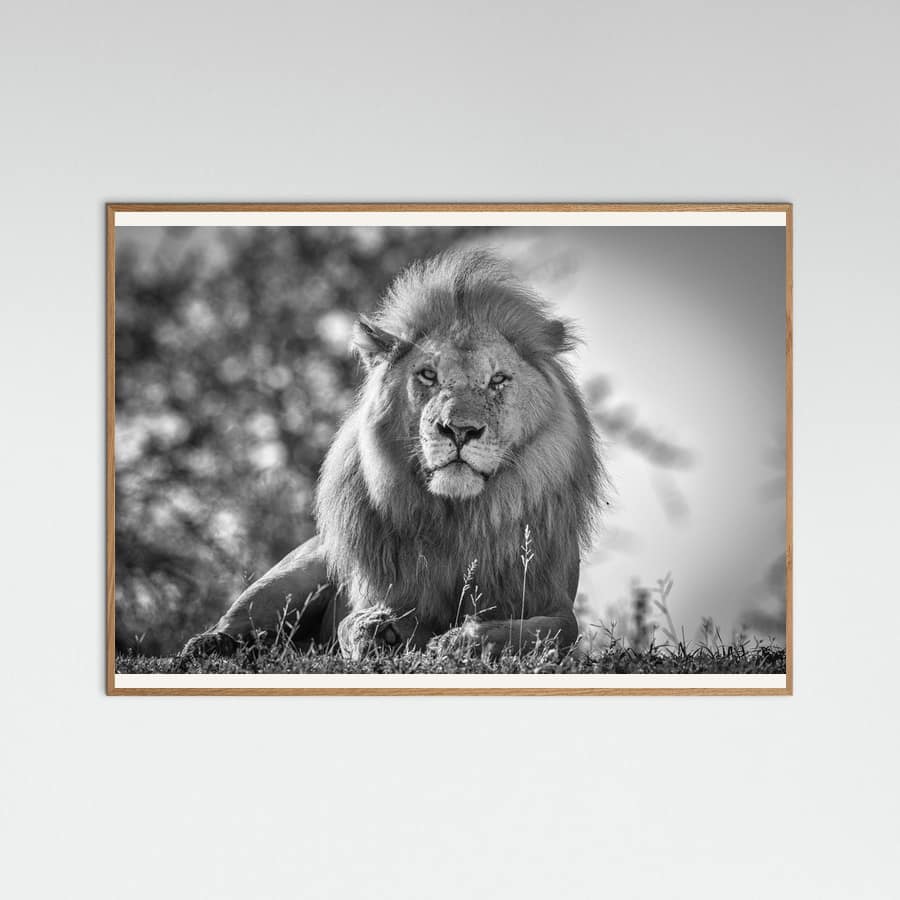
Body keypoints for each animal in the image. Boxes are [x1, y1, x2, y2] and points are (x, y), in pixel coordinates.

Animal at [181, 250, 603, 660]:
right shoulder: (376, 592)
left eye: (498, 379)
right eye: (428, 375)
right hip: (297, 571)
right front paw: (378, 631)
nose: (459, 430)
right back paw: (209, 645)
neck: (460, 518)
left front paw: (462, 641)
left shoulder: (553, 600)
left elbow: (549, 632)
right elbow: (350, 623)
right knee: (242, 622)